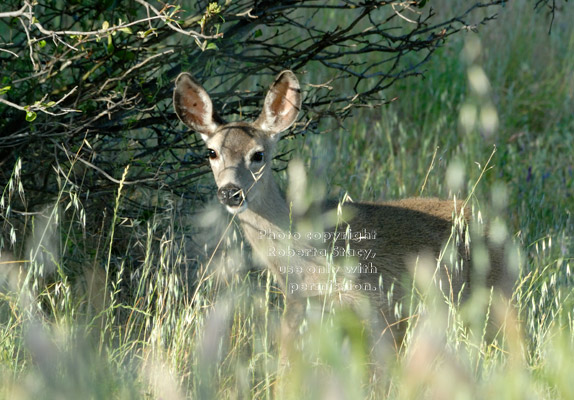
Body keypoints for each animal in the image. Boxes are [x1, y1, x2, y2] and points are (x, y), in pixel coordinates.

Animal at [172, 70, 512, 358]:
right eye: (212, 152)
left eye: (258, 154)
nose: (230, 192)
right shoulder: (301, 306)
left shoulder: (378, 303)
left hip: (493, 296)